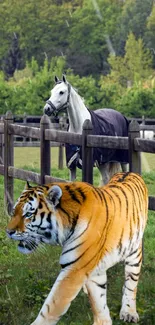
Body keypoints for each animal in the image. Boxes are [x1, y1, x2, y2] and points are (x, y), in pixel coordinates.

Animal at [6, 171, 148, 322]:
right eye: (14, 211)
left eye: (28, 214)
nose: (8, 232)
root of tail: (129, 172)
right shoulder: (92, 271)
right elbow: (99, 303)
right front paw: (103, 321)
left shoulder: (75, 269)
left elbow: (50, 308)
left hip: (134, 254)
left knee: (131, 284)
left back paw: (129, 312)